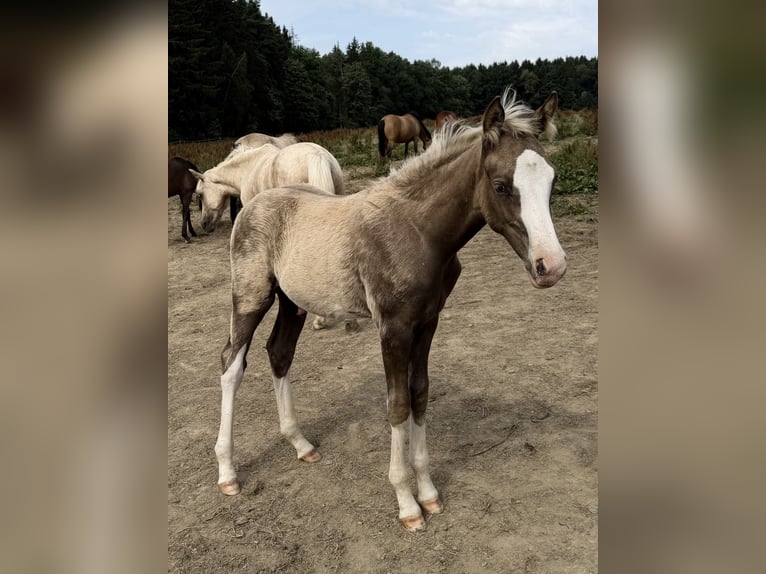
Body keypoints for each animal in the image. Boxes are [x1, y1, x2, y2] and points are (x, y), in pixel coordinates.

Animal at [212, 89, 566, 532]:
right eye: (501, 186)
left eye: (552, 180)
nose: (551, 266)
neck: (418, 231)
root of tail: (251, 203)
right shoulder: (393, 327)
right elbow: (397, 404)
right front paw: (407, 504)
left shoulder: (427, 322)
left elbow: (420, 394)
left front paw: (428, 492)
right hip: (251, 296)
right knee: (231, 364)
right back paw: (227, 471)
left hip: (293, 303)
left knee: (279, 354)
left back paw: (300, 443)